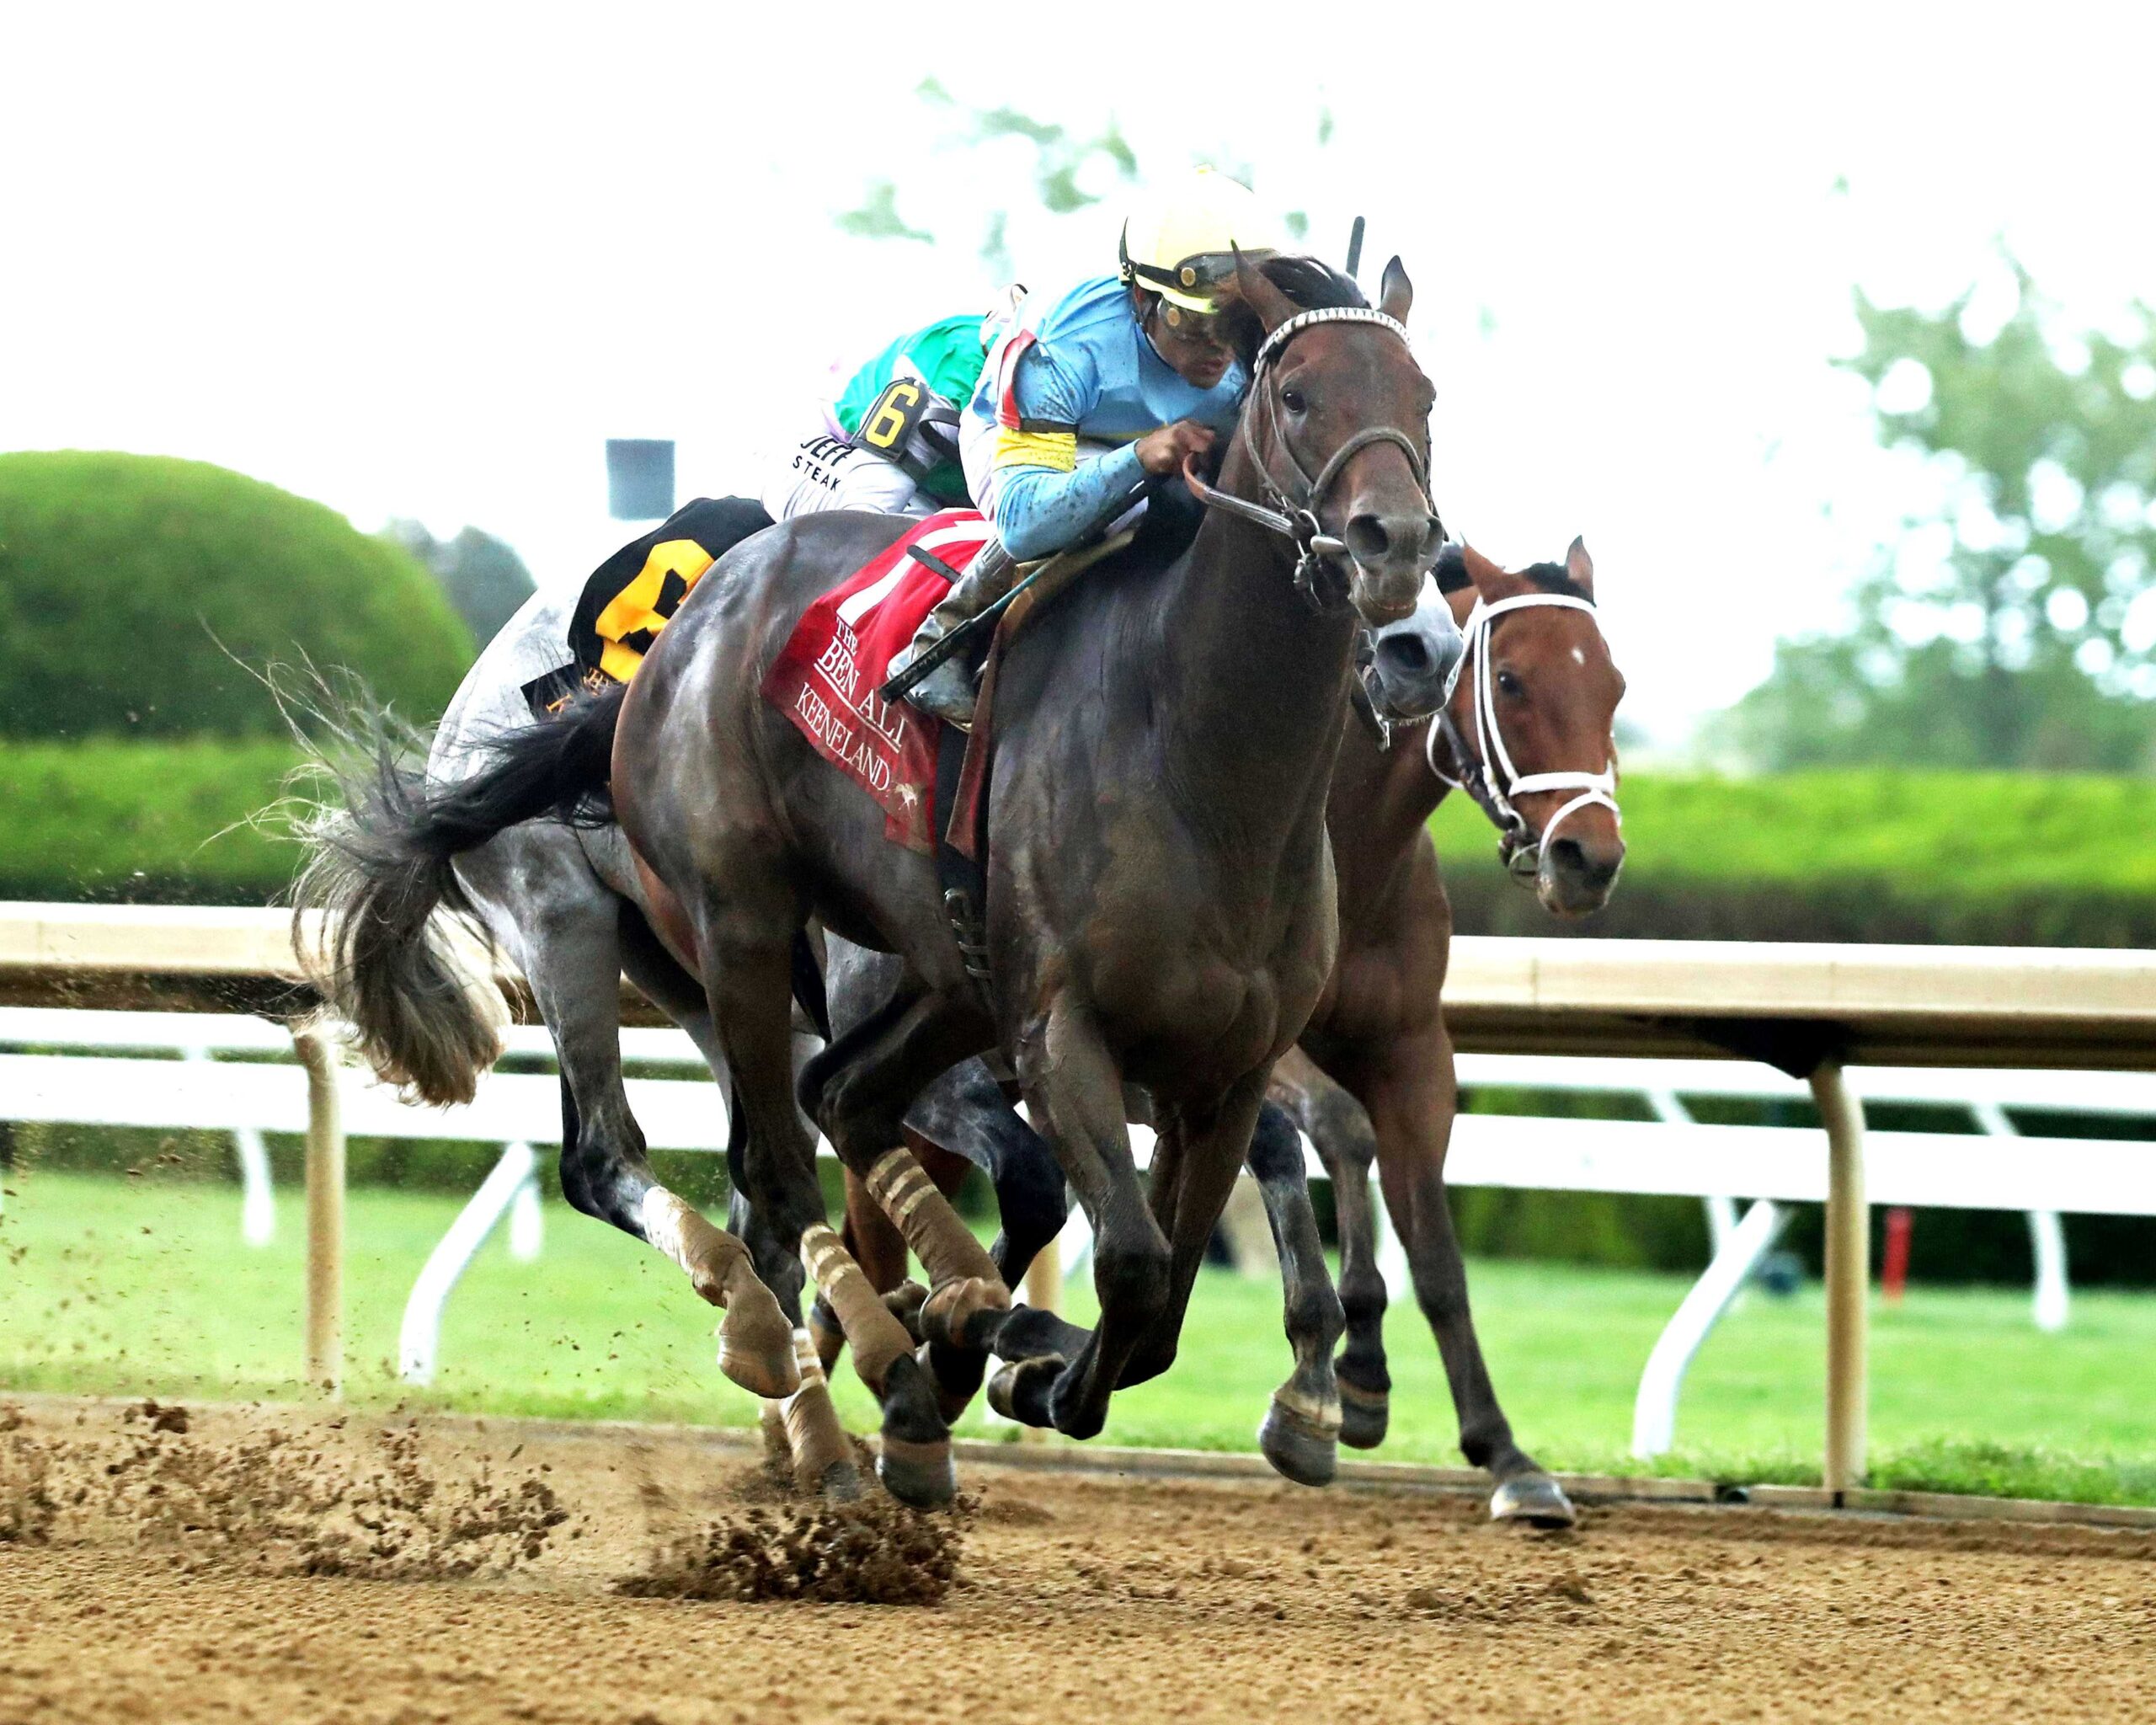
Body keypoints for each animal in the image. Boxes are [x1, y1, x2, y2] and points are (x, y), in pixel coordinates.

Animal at [294, 251, 1454, 1508]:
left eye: (1426, 397)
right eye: (1295, 395)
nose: (1406, 591)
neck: (1199, 759)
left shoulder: (1220, 1064)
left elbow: (1167, 1282)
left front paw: (1040, 1356)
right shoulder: (1056, 1030)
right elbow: (1120, 1253)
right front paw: (994, 1356)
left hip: (801, 974)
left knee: (812, 1120)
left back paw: (869, 1365)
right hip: (650, 923)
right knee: (680, 1164)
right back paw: (822, 1372)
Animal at [816, 536, 1624, 1525]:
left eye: (1613, 684)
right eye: (1510, 680)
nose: (1588, 857)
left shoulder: (1411, 1052)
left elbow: (1433, 1249)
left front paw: (1497, 1449)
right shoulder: (1231, 1049)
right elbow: (1323, 1132)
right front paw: (1335, 1373)